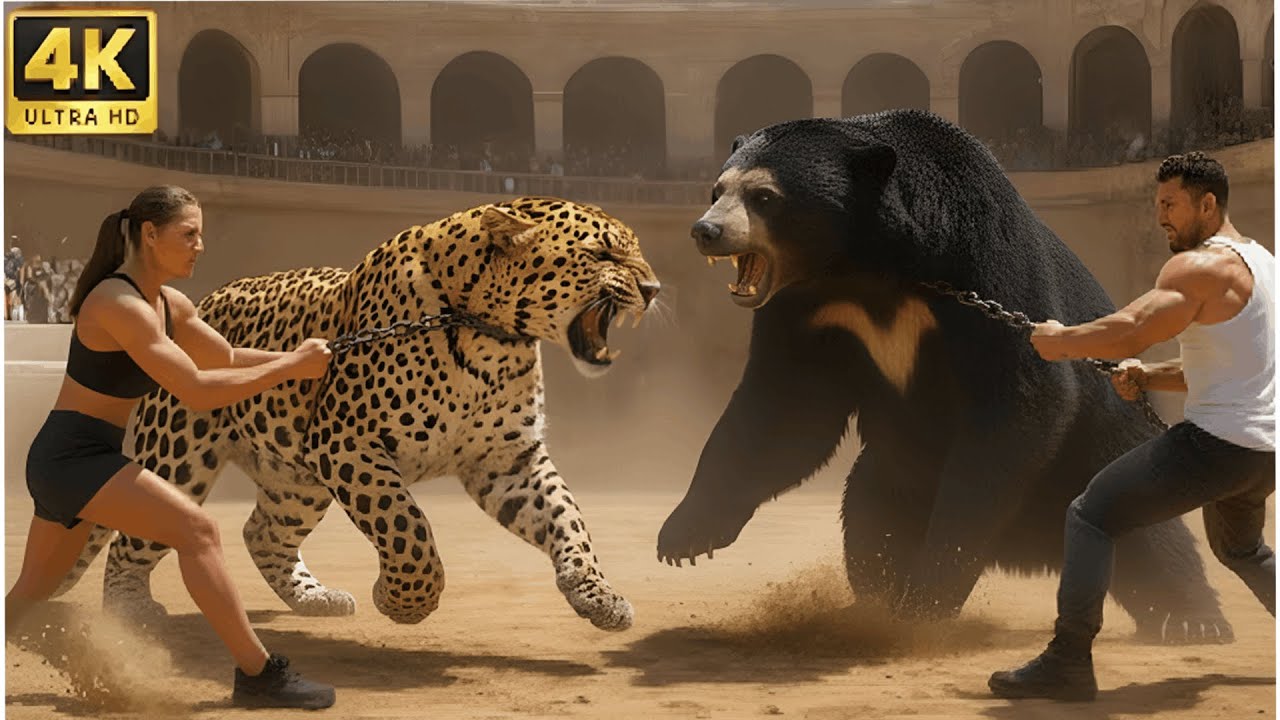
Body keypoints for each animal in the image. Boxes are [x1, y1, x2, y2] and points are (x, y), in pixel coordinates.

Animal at [53, 196, 660, 632]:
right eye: (603, 255)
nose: (654, 289)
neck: (490, 336)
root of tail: (195, 303)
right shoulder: (346, 441)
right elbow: (407, 527)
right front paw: (401, 601)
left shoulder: (507, 459)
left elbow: (567, 519)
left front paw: (599, 596)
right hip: (179, 456)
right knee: (132, 539)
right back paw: (130, 613)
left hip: (295, 480)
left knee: (261, 531)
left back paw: (315, 598)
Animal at [656, 109, 1233, 644]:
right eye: (717, 189)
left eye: (764, 197)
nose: (705, 230)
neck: (863, 263)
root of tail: (1033, 551)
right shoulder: (809, 310)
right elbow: (784, 410)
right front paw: (684, 536)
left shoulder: (983, 264)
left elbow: (1018, 398)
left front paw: (930, 590)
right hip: (898, 473)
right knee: (869, 516)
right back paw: (872, 606)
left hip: (1101, 448)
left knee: (1151, 535)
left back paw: (1193, 621)